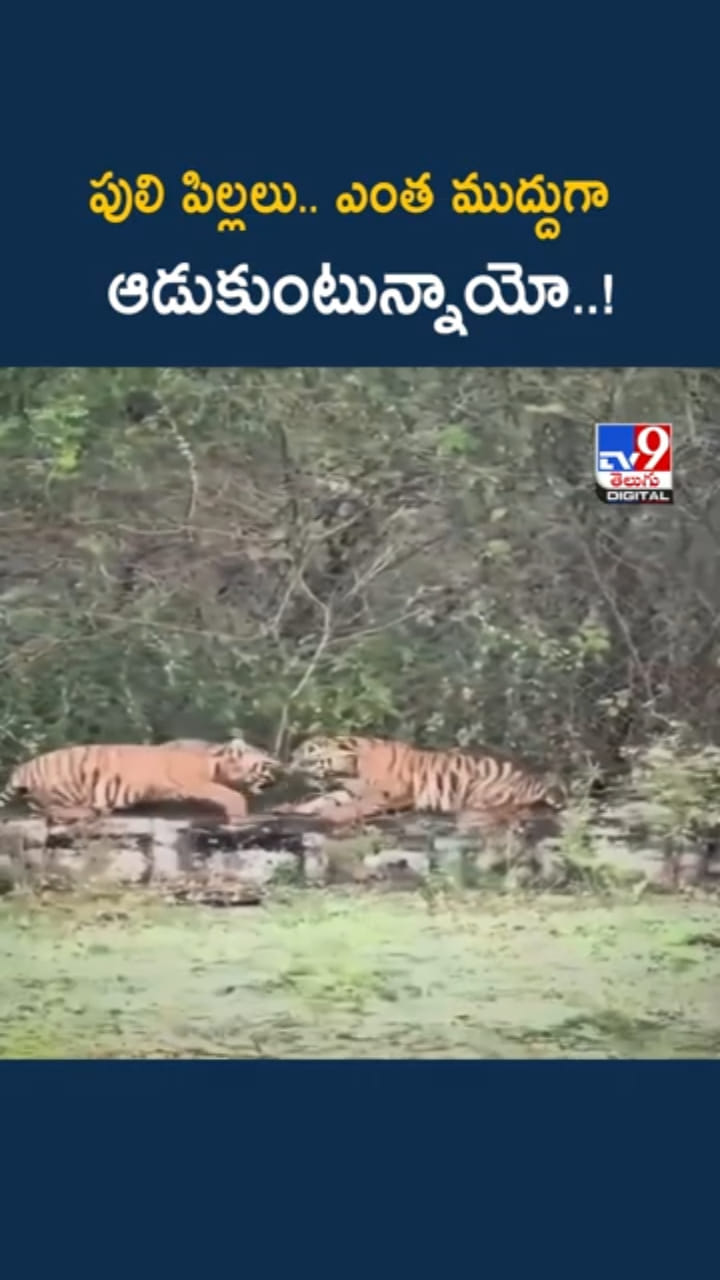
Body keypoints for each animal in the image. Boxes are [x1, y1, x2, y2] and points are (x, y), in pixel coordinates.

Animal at [0, 739, 282, 825]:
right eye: (266, 764)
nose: (279, 777)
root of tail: (22, 769)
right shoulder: (194, 783)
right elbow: (230, 794)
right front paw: (240, 813)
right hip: (65, 785)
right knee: (51, 811)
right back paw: (90, 811)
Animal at [288, 734, 567, 831]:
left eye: (307, 754)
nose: (289, 763)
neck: (349, 768)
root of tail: (534, 779)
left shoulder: (389, 792)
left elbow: (354, 806)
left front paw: (333, 815)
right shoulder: (348, 790)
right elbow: (325, 799)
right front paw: (293, 808)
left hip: (480, 787)